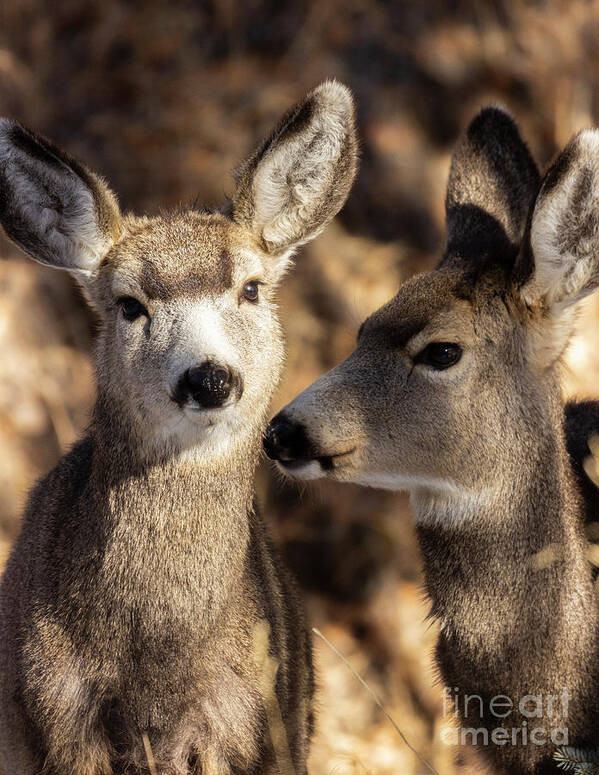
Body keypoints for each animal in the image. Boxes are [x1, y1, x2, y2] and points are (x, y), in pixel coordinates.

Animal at [0, 80, 356, 775]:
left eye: (251, 289)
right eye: (129, 305)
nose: (209, 378)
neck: (156, 661)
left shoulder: (242, 721)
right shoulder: (58, 715)